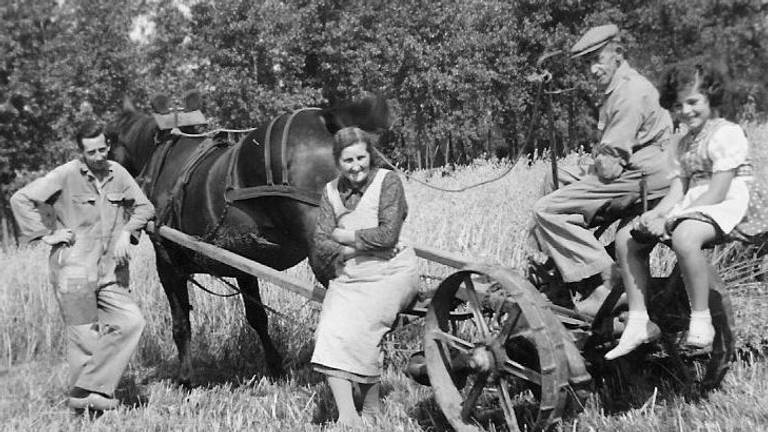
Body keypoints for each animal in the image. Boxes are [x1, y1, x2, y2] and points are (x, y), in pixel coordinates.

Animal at [106, 96, 390, 384]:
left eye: (108, 139)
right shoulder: (244, 263)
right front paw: (275, 367)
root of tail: (325, 118)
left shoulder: (167, 262)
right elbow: (257, 317)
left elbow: (181, 323)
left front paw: (185, 378)